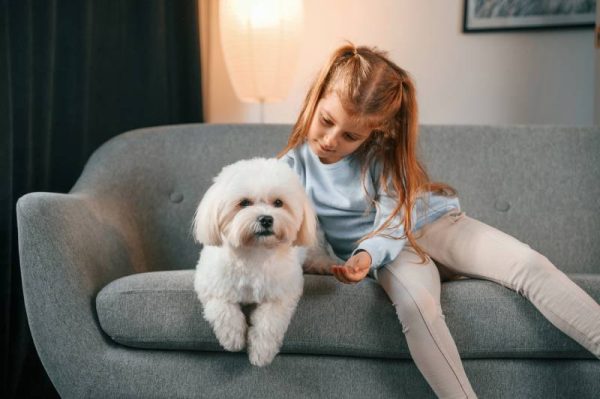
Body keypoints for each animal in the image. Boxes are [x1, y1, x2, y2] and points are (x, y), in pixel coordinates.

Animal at [192, 158, 328, 368]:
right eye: (244, 203)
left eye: (278, 203)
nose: (266, 219)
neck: (255, 252)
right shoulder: (209, 284)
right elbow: (222, 309)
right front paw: (233, 337)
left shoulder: (282, 294)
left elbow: (269, 323)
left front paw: (261, 353)